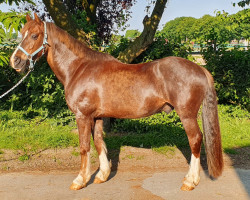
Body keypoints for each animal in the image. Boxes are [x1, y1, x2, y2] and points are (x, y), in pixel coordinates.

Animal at [10, 14, 223, 191]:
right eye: (22, 34)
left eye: (35, 35)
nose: (15, 62)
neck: (79, 68)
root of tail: (199, 68)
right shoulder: (96, 117)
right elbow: (98, 143)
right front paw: (102, 175)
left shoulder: (82, 116)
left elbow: (84, 147)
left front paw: (80, 180)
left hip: (187, 115)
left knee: (195, 140)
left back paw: (190, 181)